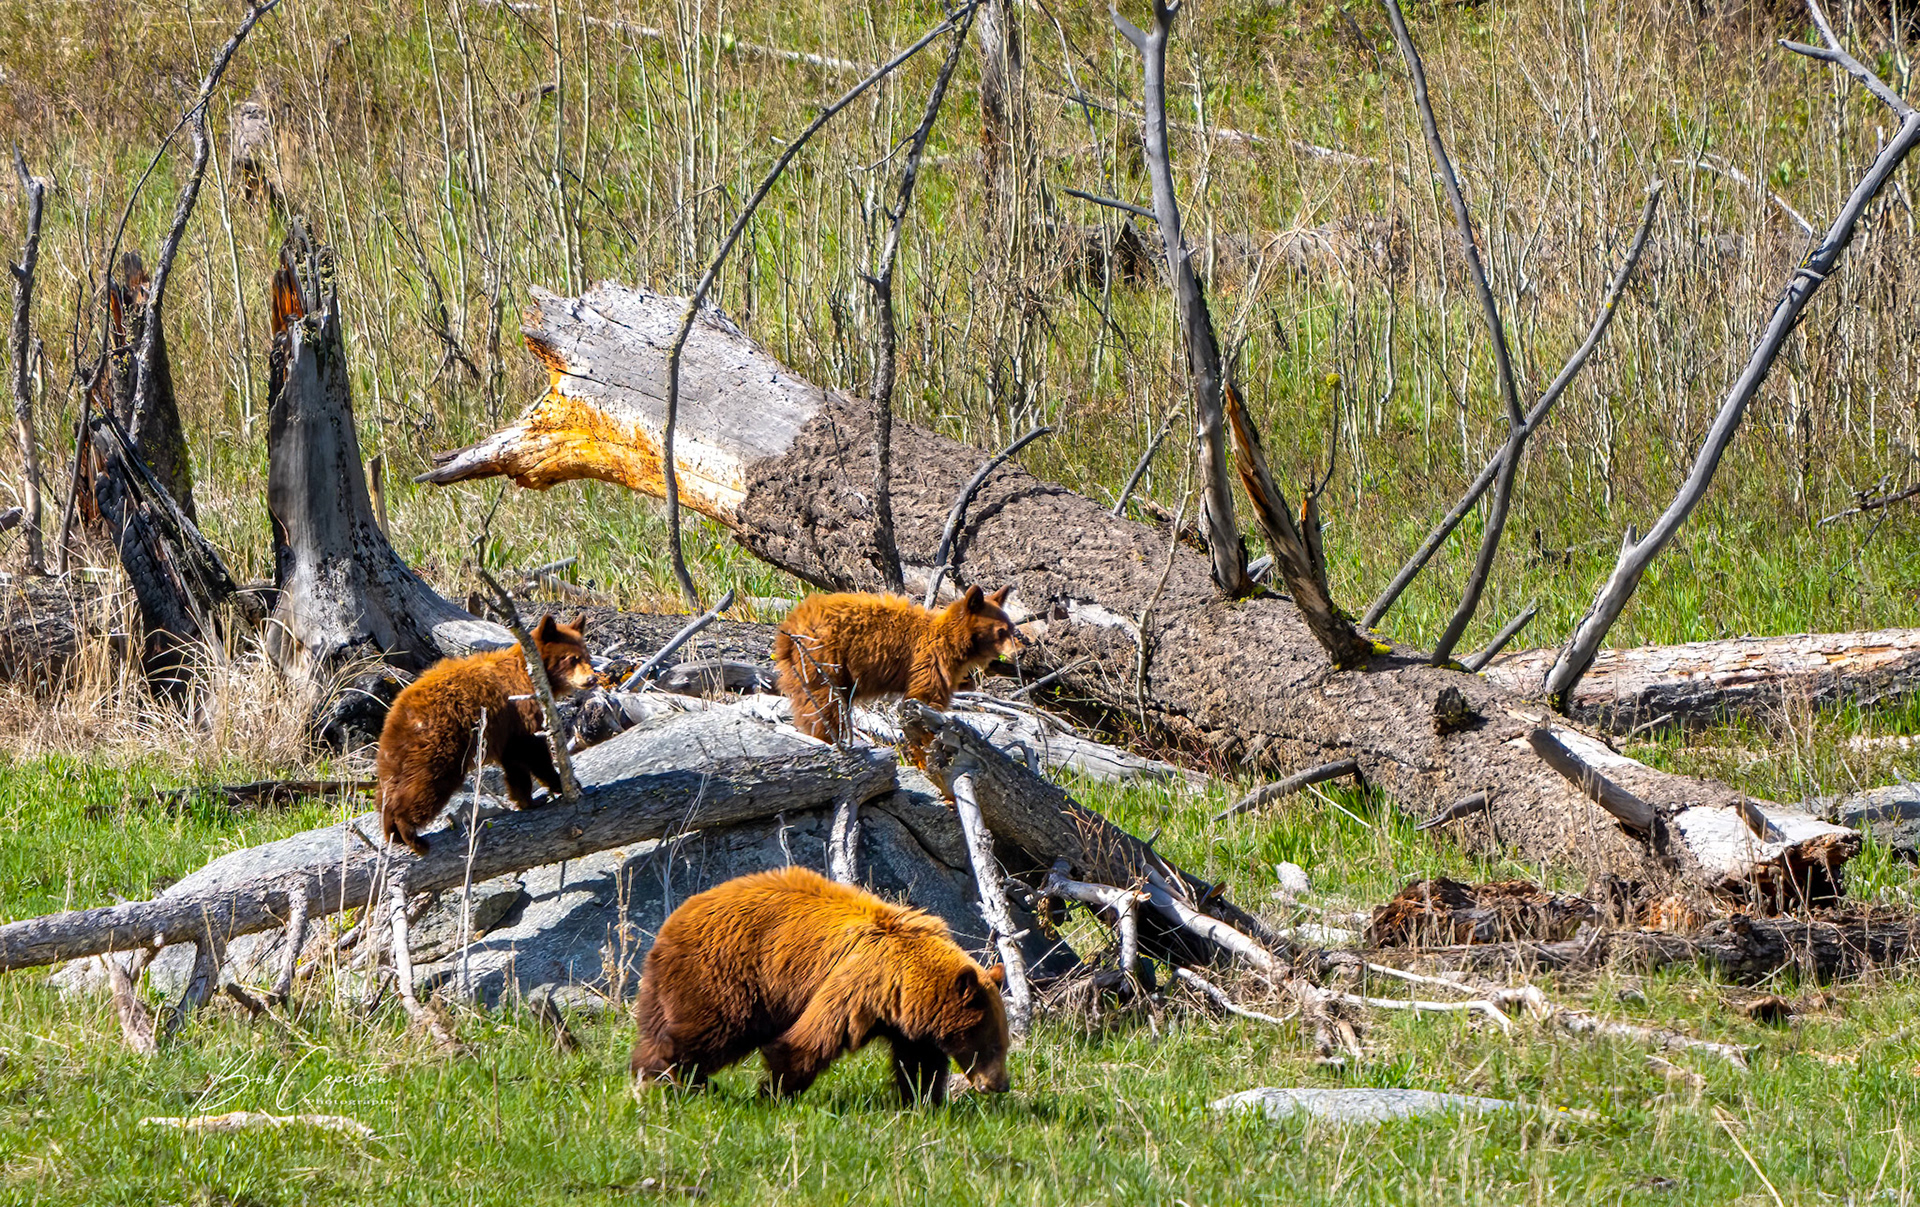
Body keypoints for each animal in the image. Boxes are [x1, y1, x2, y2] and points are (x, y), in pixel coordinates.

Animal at [375, 613, 597, 856]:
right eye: (572, 659)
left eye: (587, 656)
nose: (591, 679)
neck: (530, 674)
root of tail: (399, 711)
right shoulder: (521, 709)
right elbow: (534, 750)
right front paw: (562, 783)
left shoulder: (507, 728)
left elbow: (515, 763)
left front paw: (527, 800)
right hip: (440, 743)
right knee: (427, 782)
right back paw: (411, 835)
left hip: (399, 752)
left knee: (391, 787)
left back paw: (392, 831)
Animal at [630, 866, 1011, 1105]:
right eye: (992, 1044)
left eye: (1003, 1043)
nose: (1000, 1085)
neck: (902, 980)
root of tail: (670, 924)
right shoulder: (858, 984)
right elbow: (809, 1040)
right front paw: (774, 1095)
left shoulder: (906, 1019)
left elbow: (919, 1060)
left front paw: (921, 1101)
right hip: (724, 977)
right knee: (705, 1033)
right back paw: (666, 1077)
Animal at [770, 585, 1020, 747]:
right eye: (1001, 631)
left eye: (1011, 627)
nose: (1018, 652)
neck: (953, 639)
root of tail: (791, 623)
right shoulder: (930, 659)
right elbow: (925, 695)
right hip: (824, 660)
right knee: (825, 703)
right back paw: (829, 738)